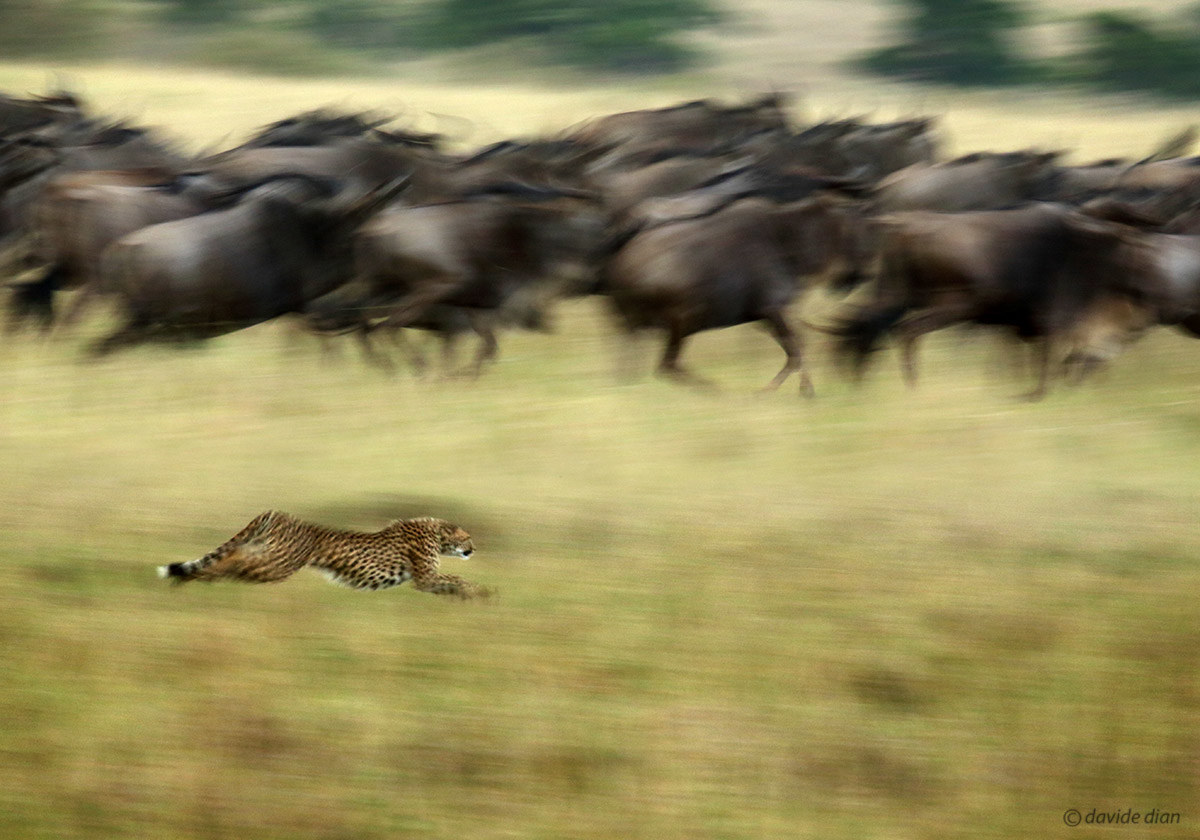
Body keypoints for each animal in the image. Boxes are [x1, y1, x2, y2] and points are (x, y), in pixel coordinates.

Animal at [157, 510, 489, 599]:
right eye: (468, 537)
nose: (473, 549)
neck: (435, 532)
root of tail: (279, 514)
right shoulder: (425, 577)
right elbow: (456, 579)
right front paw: (483, 593)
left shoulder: (427, 580)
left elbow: (452, 584)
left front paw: (473, 595)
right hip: (276, 566)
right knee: (231, 561)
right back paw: (191, 578)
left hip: (265, 556)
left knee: (231, 559)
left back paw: (187, 578)